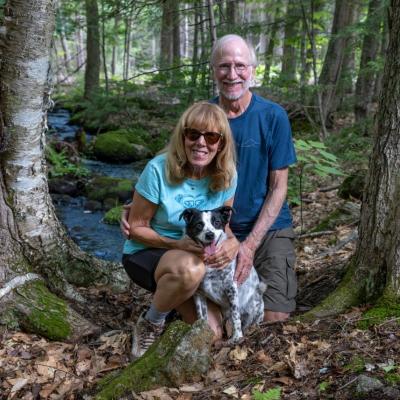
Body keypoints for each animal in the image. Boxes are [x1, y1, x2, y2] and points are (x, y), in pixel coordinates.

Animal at [179, 206, 266, 340]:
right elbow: (201, 316)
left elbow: (235, 315)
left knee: (252, 319)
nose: (210, 234)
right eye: (199, 225)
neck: (209, 263)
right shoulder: (198, 293)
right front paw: (201, 332)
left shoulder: (231, 288)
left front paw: (237, 337)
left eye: (217, 222)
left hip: (255, 305)